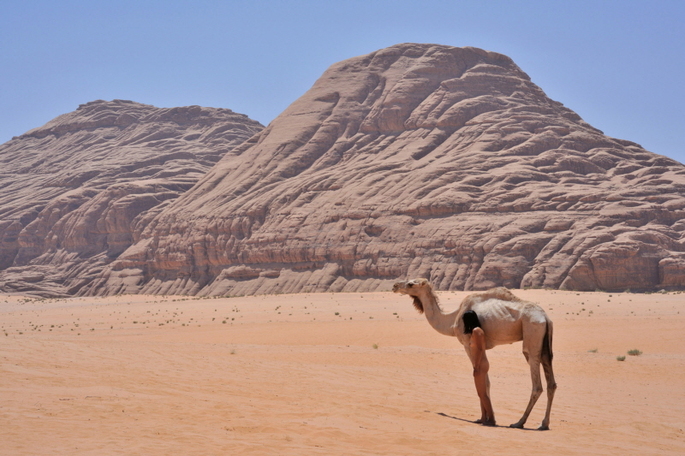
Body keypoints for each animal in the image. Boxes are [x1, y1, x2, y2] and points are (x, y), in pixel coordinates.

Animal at [390, 278, 556, 432]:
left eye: (411, 284)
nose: (395, 286)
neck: (452, 320)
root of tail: (546, 318)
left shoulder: (467, 343)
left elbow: (481, 379)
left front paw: (484, 419)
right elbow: (486, 381)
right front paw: (487, 417)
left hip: (532, 333)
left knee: (536, 382)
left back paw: (519, 422)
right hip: (544, 344)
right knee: (551, 382)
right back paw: (544, 424)